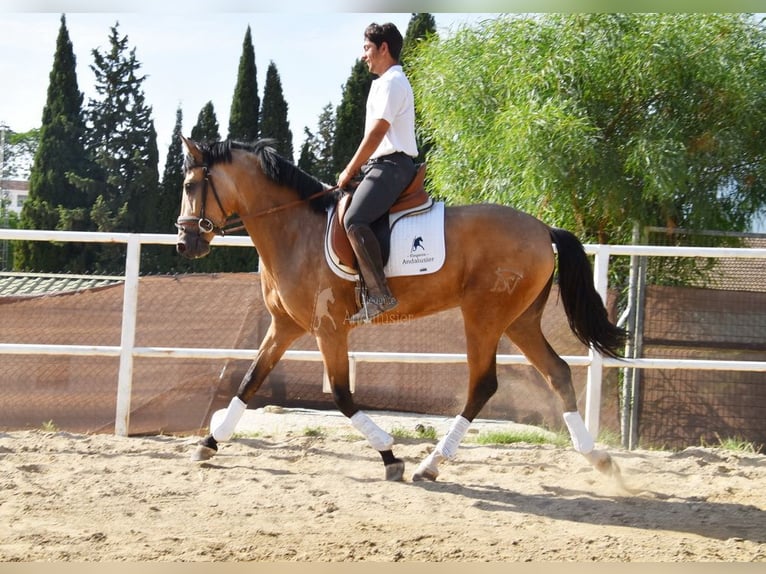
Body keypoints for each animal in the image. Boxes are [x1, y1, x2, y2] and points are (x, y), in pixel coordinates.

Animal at [176, 138, 632, 486]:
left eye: (190, 183)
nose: (184, 243)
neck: (294, 230)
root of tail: (542, 228)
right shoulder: (285, 325)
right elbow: (250, 380)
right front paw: (208, 443)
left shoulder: (329, 329)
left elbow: (341, 396)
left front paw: (390, 456)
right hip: (520, 321)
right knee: (557, 372)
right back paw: (599, 459)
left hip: (484, 316)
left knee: (483, 385)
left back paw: (431, 465)